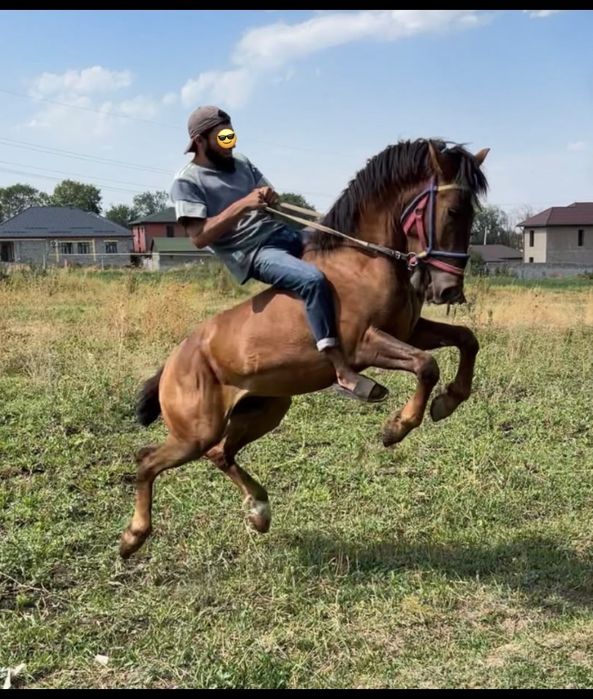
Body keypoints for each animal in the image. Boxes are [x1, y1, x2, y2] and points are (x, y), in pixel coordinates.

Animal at [119, 138, 489, 558]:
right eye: (453, 210)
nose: (449, 290)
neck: (364, 261)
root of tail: (173, 363)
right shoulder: (364, 345)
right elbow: (427, 365)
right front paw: (396, 426)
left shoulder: (410, 331)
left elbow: (466, 339)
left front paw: (448, 401)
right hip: (196, 432)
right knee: (147, 460)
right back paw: (132, 538)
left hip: (265, 409)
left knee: (220, 454)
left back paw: (259, 511)